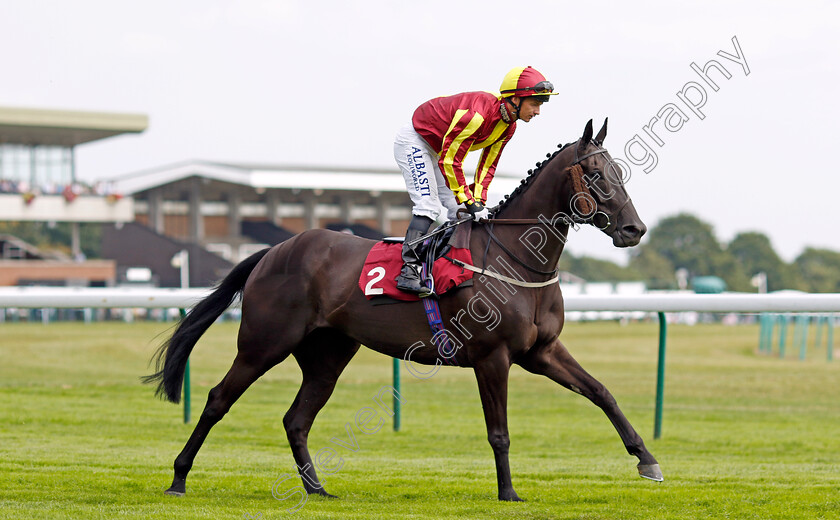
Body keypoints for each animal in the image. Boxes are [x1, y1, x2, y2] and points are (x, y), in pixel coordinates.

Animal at [146, 118, 664, 500]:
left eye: (619, 173)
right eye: (596, 174)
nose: (634, 230)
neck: (517, 257)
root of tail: (275, 250)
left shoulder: (542, 352)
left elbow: (601, 392)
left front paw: (648, 460)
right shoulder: (492, 357)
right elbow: (499, 431)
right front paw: (509, 493)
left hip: (328, 354)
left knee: (296, 418)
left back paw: (317, 489)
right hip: (264, 342)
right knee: (218, 399)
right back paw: (178, 478)